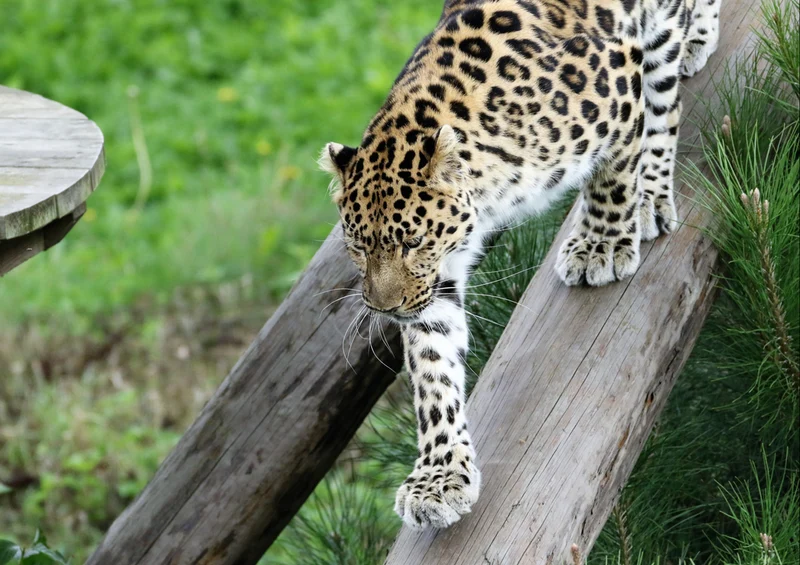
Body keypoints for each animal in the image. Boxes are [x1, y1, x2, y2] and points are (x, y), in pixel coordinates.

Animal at [320, 0, 721, 530]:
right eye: (358, 247)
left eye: (413, 241)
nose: (385, 309)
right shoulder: (437, 283)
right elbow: (434, 373)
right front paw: (439, 477)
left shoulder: (616, 76)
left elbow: (614, 172)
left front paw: (601, 243)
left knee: (663, 99)